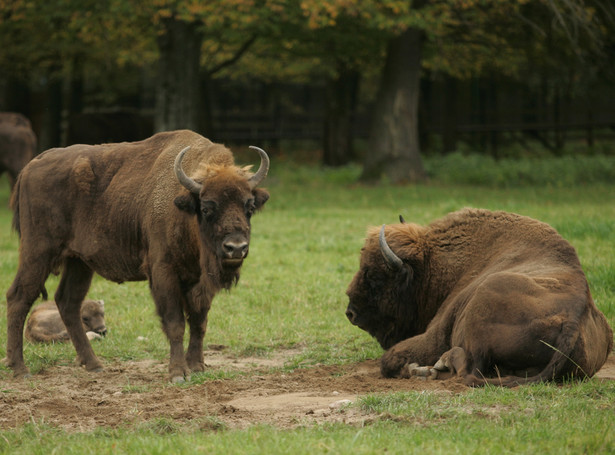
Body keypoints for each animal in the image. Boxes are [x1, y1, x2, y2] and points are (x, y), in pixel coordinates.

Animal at [4, 130, 270, 382]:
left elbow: (199, 321)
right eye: (206, 208)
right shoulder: (163, 272)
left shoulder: (201, 282)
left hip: (78, 262)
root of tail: (31, 166)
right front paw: (178, 373)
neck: (182, 208)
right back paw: (20, 369)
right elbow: (175, 323)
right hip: (37, 252)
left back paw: (94, 364)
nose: (236, 248)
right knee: (19, 297)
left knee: (68, 302)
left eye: (249, 207)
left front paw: (197, 366)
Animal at [348, 208, 612, 386]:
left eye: (375, 276)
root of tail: (573, 320)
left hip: (484, 298)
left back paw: (432, 366)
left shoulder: (435, 335)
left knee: (469, 370)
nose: (351, 312)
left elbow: (389, 360)